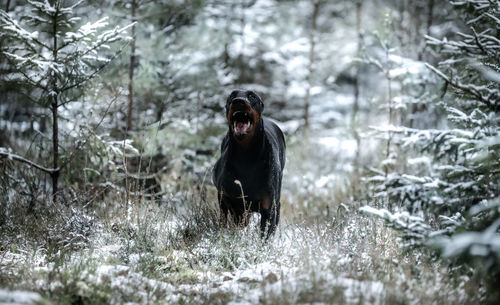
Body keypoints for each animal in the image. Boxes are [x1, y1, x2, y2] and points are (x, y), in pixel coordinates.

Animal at [213, 89, 288, 236]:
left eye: (252, 96)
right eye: (232, 95)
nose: (238, 101)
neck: (246, 157)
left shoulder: (269, 208)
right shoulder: (226, 198)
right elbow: (224, 221)